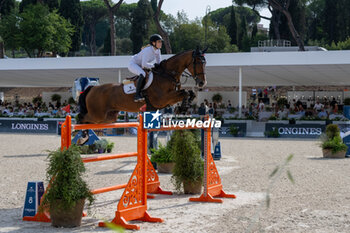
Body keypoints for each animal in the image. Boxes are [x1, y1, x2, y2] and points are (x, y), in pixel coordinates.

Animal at [78, 47, 206, 124]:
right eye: (198, 62)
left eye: (205, 63)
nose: (202, 83)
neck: (167, 74)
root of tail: (92, 88)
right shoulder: (162, 99)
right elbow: (185, 92)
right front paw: (183, 108)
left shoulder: (169, 99)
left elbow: (189, 93)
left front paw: (183, 107)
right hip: (97, 115)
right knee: (82, 117)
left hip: (108, 117)